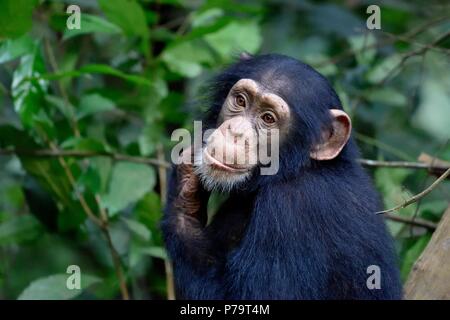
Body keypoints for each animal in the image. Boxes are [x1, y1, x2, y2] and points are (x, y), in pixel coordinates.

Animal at [162, 53, 404, 300]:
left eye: (268, 118)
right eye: (240, 101)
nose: (235, 132)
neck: (297, 169)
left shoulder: (292, 210)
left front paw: (184, 194)